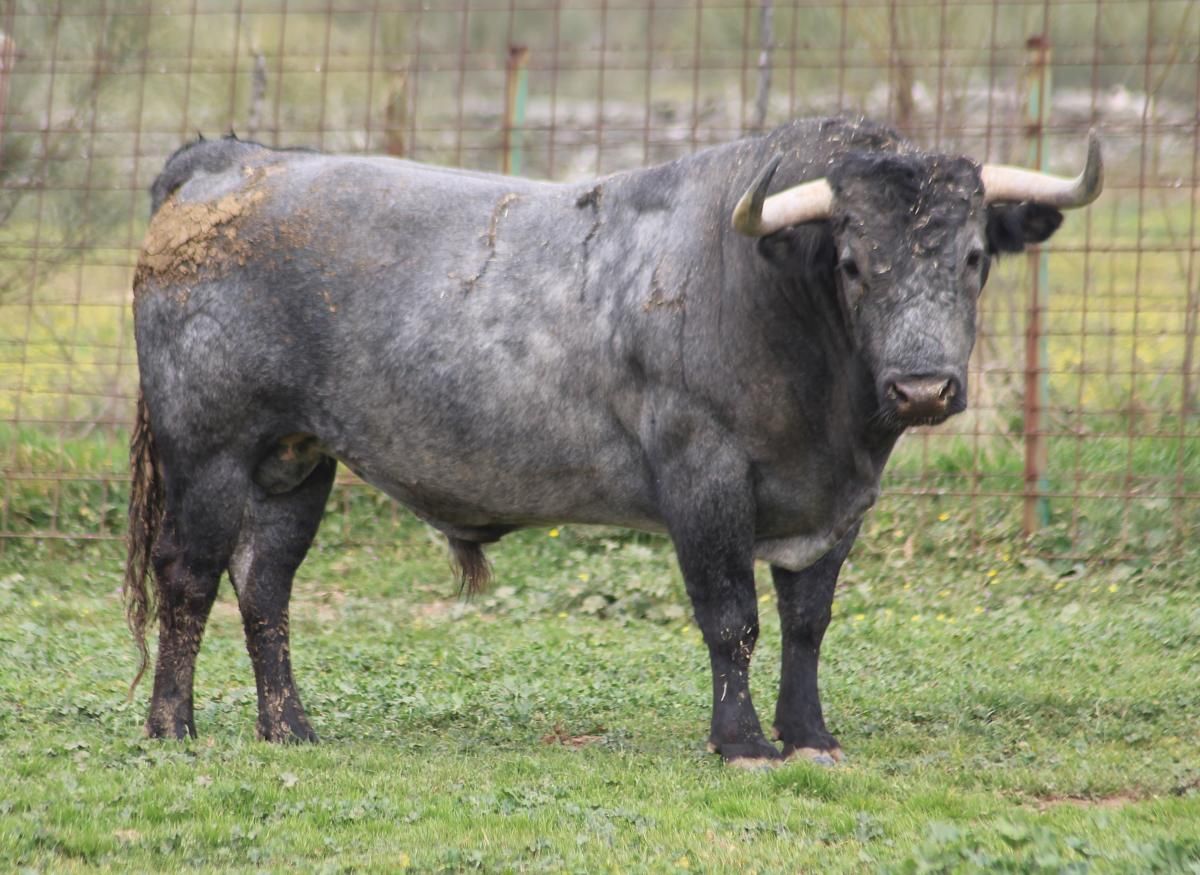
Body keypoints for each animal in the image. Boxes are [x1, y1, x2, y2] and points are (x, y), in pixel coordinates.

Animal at [126, 117, 1099, 763]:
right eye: (854, 262)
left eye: (974, 256)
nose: (922, 387)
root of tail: (233, 160)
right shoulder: (703, 473)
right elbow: (732, 616)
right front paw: (743, 742)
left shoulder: (835, 504)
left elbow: (807, 621)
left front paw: (811, 734)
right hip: (207, 449)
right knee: (191, 574)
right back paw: (173, 728)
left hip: (295, 460)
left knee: (265, 583)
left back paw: (290, 727)